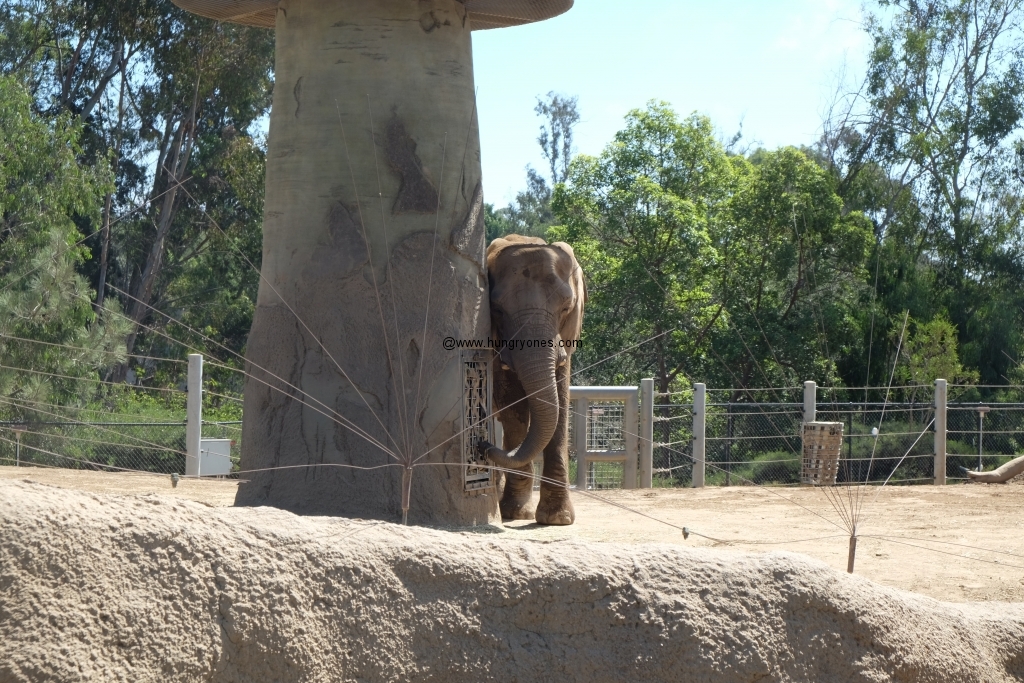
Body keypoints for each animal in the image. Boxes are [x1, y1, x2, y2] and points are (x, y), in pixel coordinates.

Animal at [477, 232, 589, 528]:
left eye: (566, 308)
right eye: (497, 310)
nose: (483, 446)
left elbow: (559, 402)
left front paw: (558, 519)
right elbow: (513, 405)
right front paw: (517, 513)